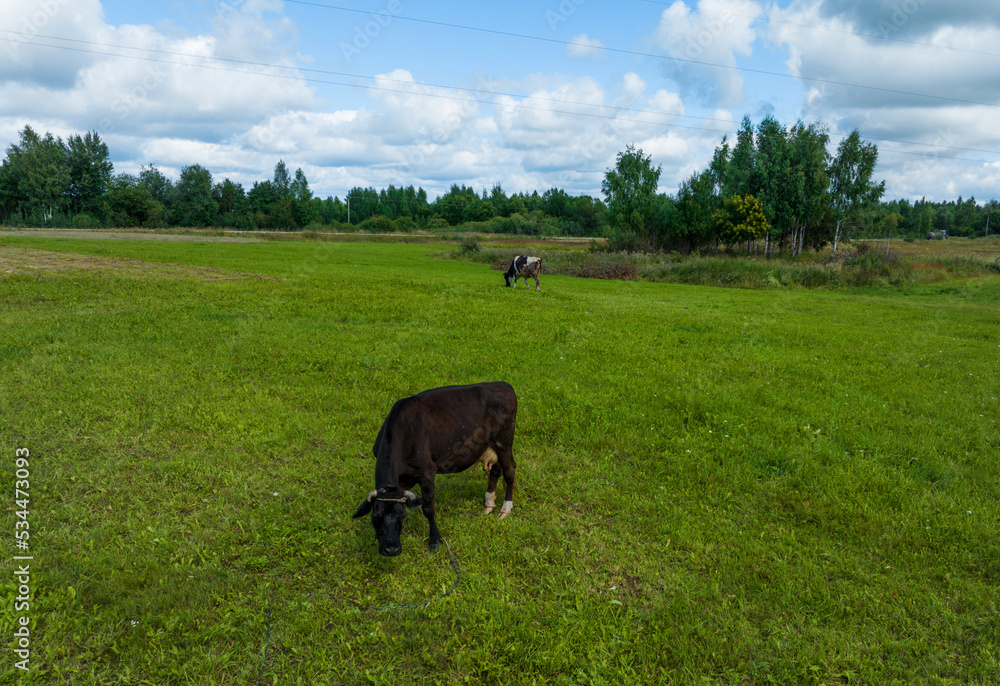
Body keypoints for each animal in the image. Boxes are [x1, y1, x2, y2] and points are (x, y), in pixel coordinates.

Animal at [352, 382, 518, 557]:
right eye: (376, 515)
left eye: (402, 515)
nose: (391, 549)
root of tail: (503, 384)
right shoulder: (405, 477)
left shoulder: (426, 472)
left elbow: (428, 508)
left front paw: (435, 540)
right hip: (491, 446)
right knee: (496, 469)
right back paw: (489, 503)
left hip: (504, 442)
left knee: (509, 471)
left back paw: (505, 508)